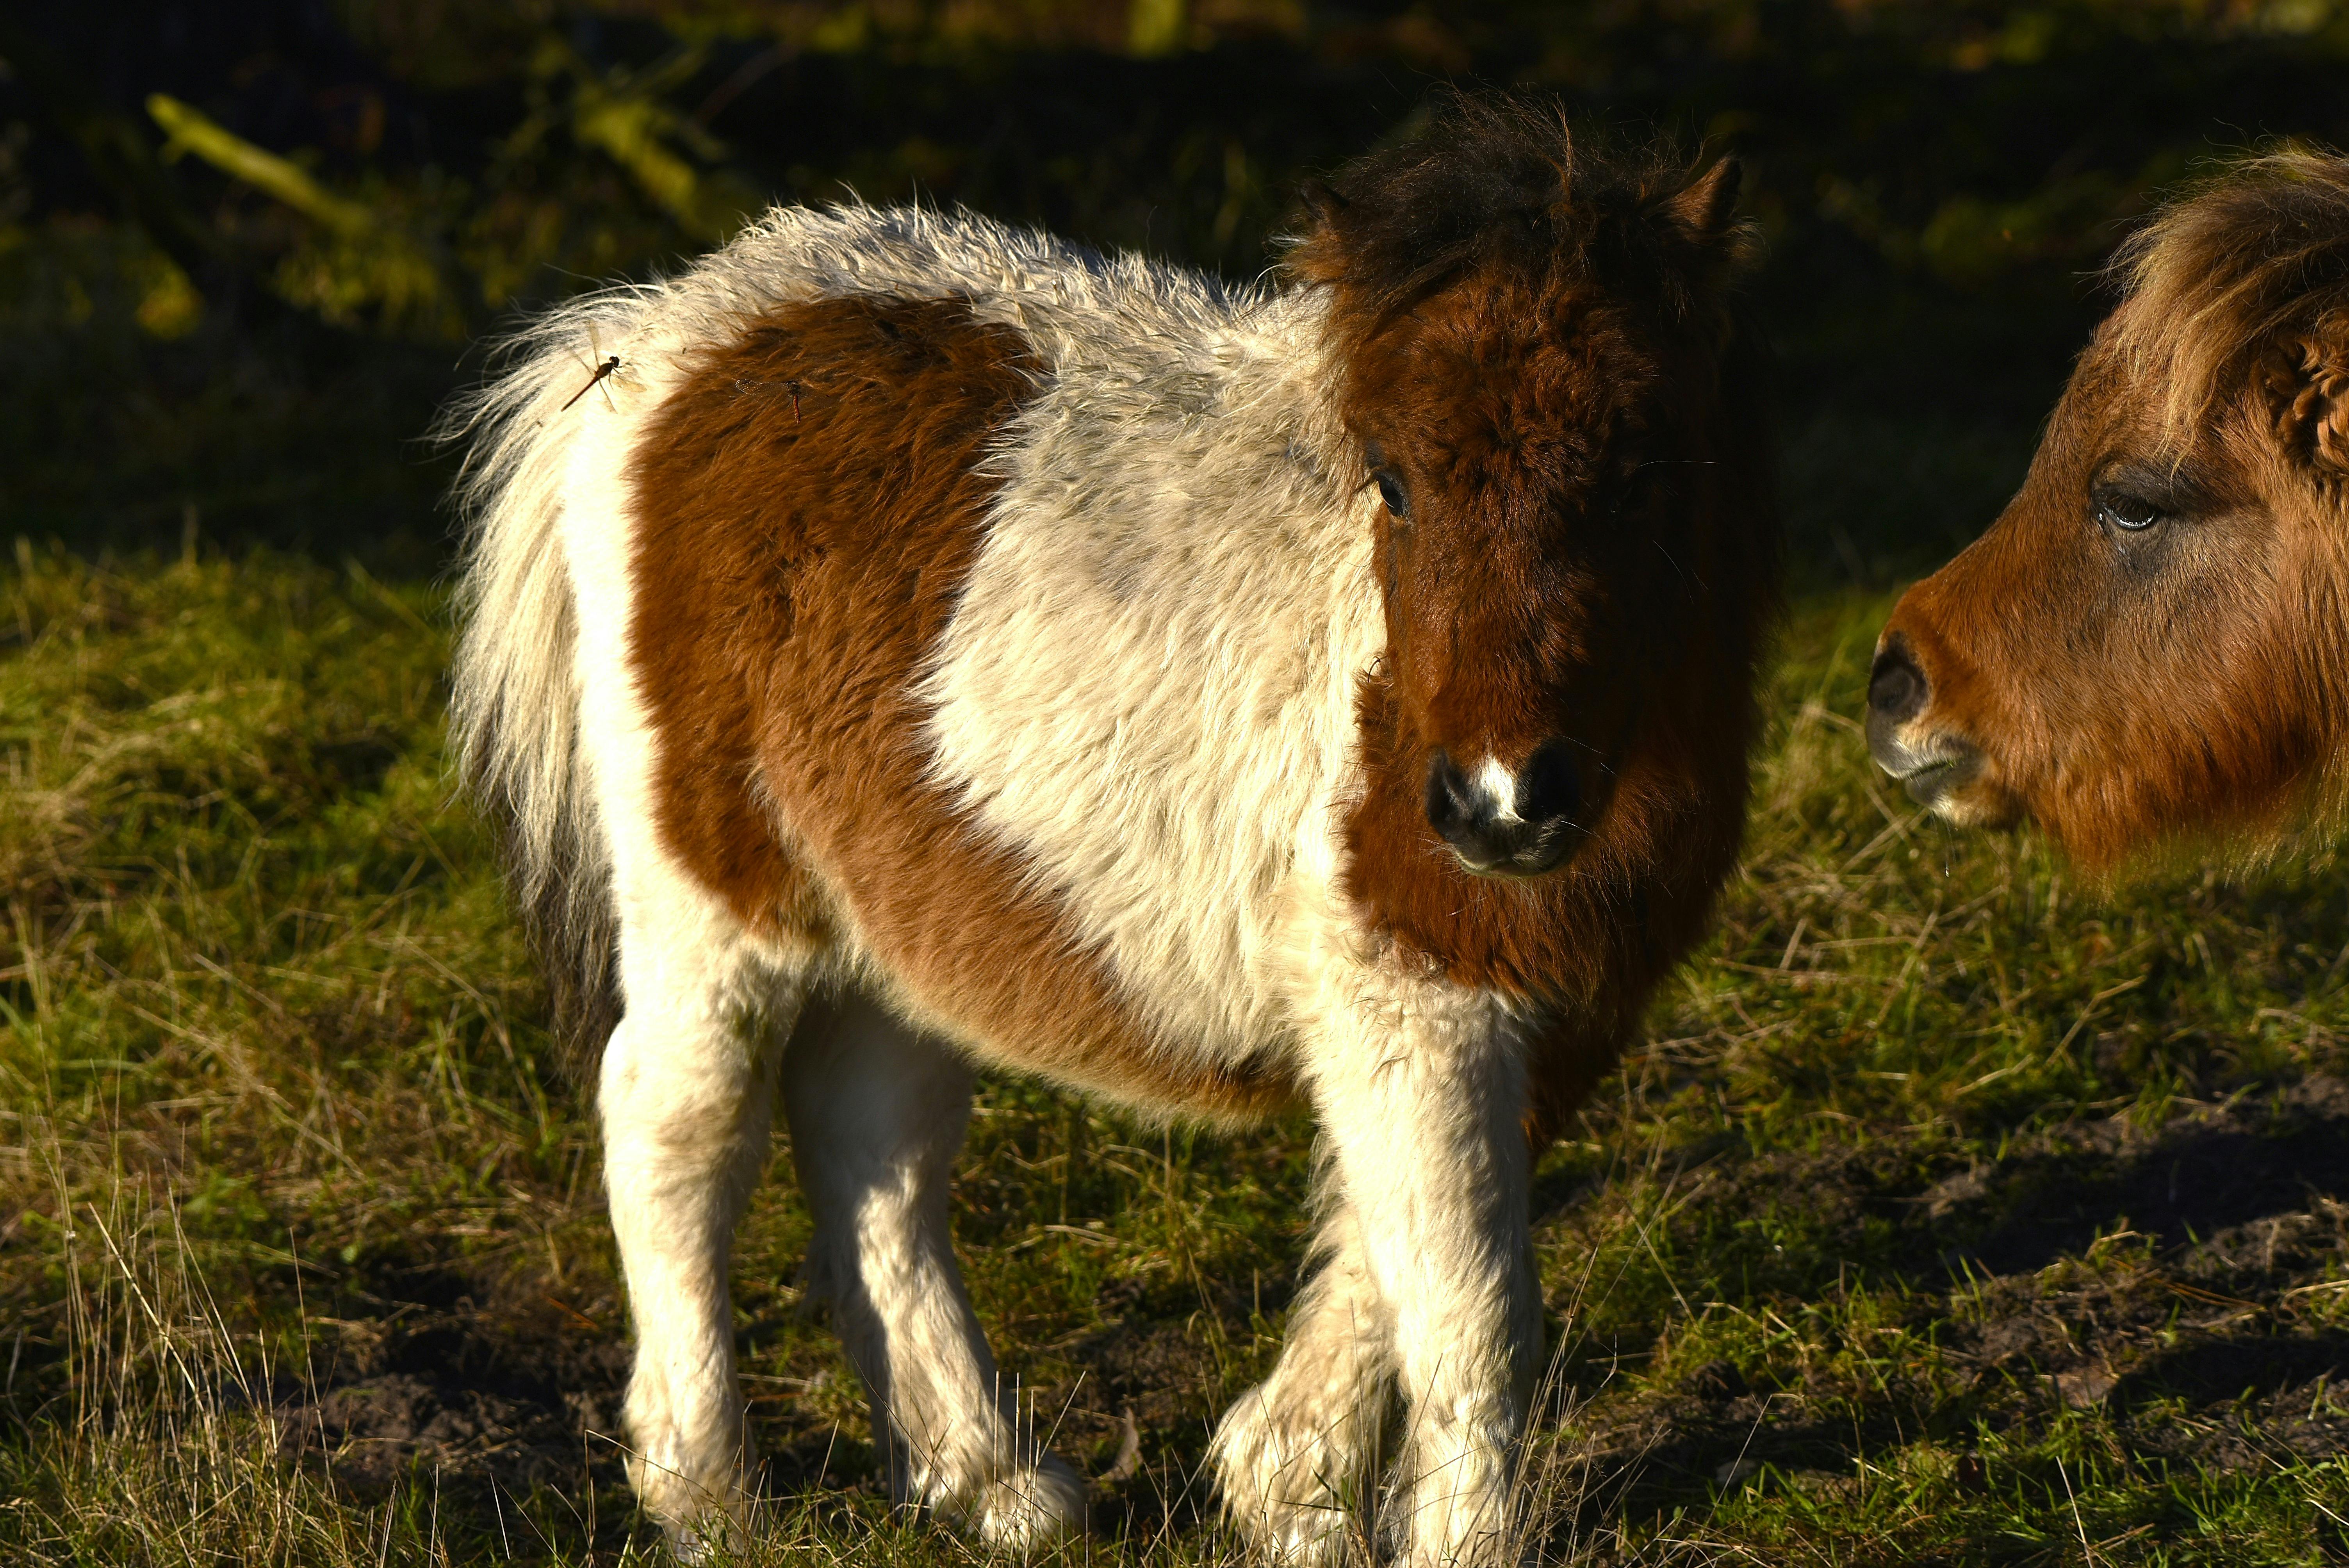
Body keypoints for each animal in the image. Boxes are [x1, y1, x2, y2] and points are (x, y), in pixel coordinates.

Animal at [447, 101, 1778, 1563]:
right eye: (1392, 482)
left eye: (1644, 477)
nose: (1502, 802)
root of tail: (658, 334)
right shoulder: (1413, 989)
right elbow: (1470, 1310)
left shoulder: (1538, 1000)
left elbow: (1392, 1250)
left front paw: (1284, 1487)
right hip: (716, 898)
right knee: (676, 1127)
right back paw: (710, 1494)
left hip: (903, 911)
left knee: (875, 1154)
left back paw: (986, 1482)